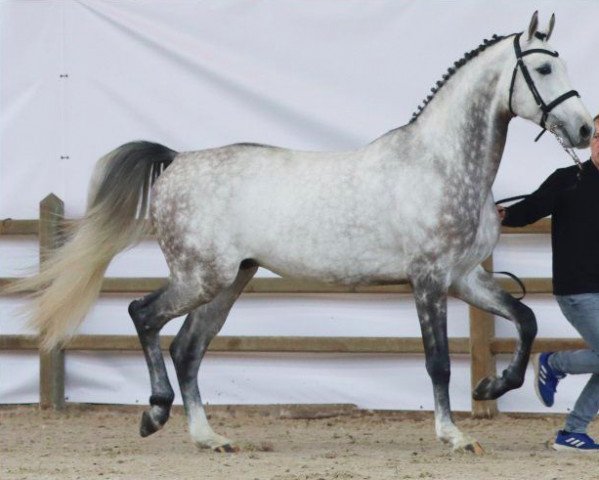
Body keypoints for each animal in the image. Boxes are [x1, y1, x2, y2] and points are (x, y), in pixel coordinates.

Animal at [7, 12, 592, 454]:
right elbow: (439, 362)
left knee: (187, 350)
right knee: (144, 315)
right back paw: (154, 414)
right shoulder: (427, 281)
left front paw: (494, 385)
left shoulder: (464, 278)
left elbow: (526, 320)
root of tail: (176, 161)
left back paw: (208, 438)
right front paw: (454, 436)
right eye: (544, 66)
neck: (441, 165)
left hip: (229, 282)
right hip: (201, 277)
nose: (585, 129)